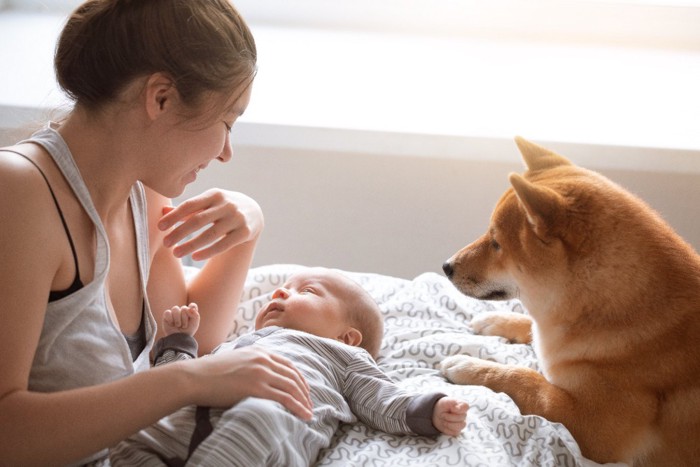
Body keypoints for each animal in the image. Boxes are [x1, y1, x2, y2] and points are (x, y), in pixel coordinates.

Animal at [440, 139, 700, 467]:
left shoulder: (591, 426)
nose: (446, 266)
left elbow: (525, 379)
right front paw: (495, 320)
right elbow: (528, 325)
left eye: (496, 242)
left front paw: (470, 365)